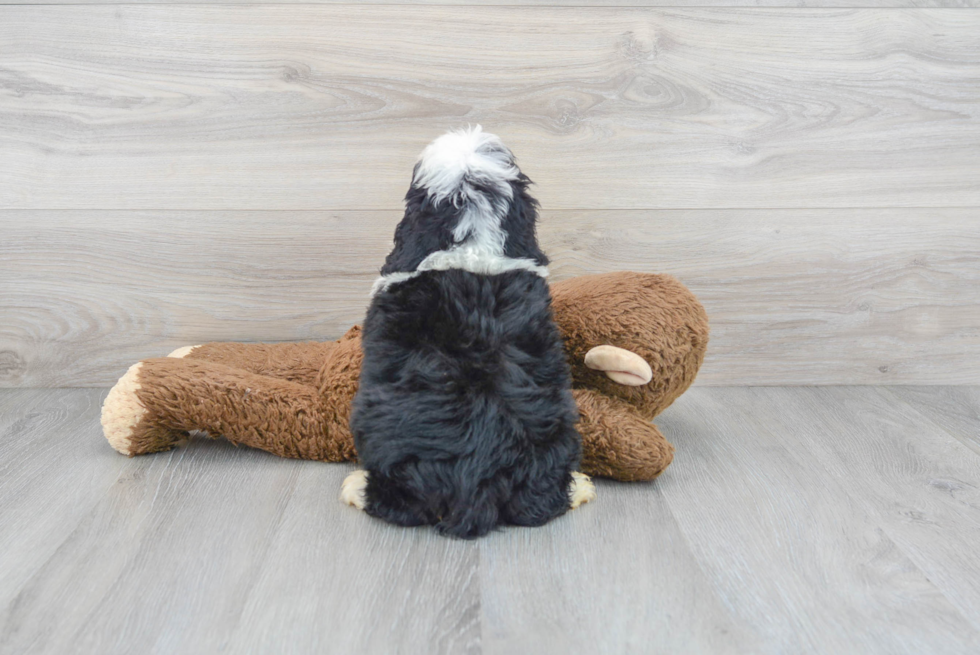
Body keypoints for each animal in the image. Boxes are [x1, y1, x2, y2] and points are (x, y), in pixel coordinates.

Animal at [340, 127, 592, 540]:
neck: (473, 242)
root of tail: (475, 483)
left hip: (376, 432)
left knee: (398, 506)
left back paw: (356, 487)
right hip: (557, 432)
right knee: (539, 503)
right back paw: (580, 486)